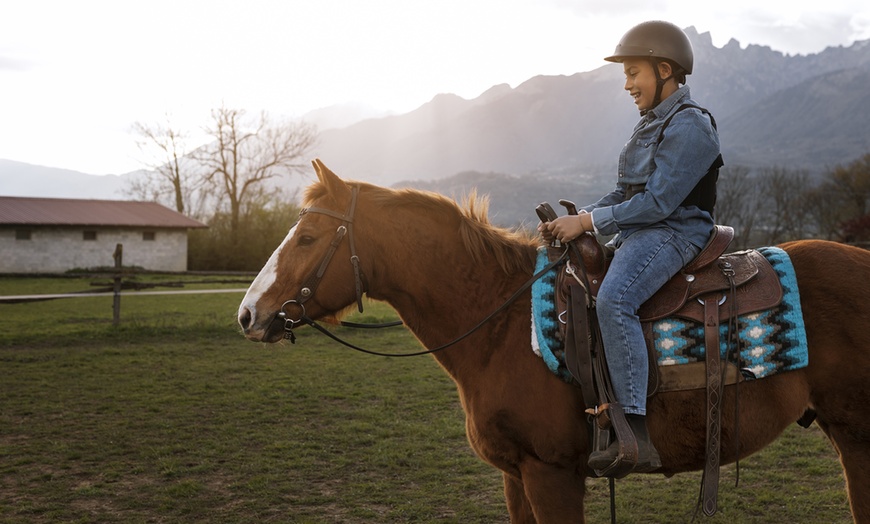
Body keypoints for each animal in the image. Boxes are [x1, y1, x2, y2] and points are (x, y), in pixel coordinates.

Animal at [237, 160, 870, 524]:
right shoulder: (517, 476)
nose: (249, 314)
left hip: (857, 438)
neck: (500, 324)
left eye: (308, 236)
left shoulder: (551, 475)